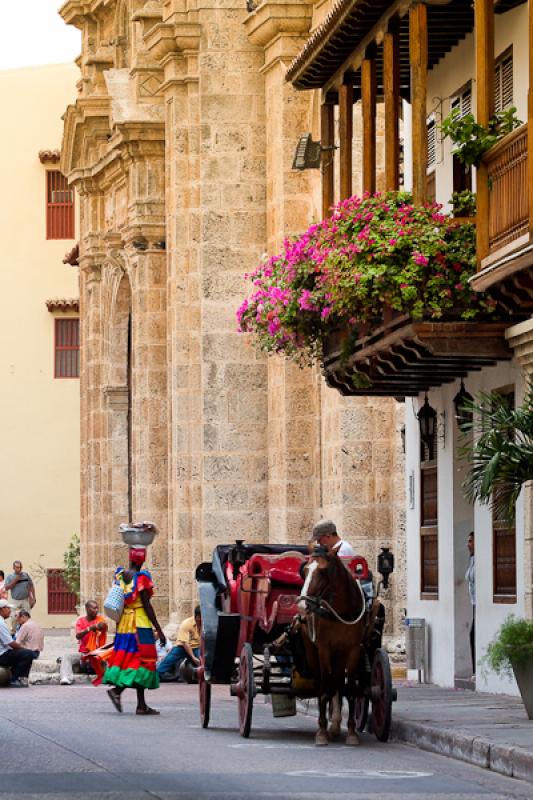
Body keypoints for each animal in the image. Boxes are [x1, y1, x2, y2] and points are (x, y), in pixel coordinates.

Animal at [300, 548, 366, 748]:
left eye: (322, 572)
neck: (341, 612)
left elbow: (350, 690)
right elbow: (324, 689)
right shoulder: (323, 648)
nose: (301, 606)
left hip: (340, 654)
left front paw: (351, 732)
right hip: (312, 652)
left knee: (337, 682)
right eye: (304, 570)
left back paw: (336, 725)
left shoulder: (352, 650)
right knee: (323, 683)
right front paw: (321, 732)